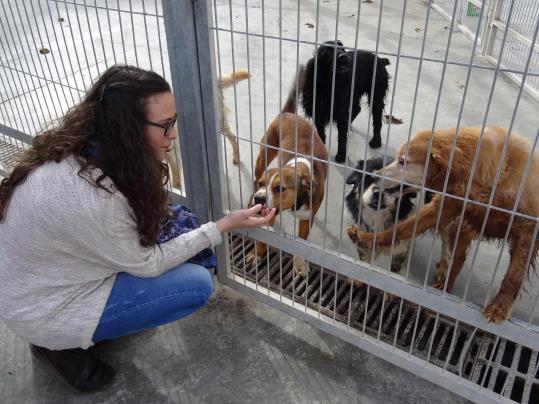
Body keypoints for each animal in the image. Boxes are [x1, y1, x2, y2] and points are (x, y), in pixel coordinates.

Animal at [246, 66, 330, 276]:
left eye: (280, 188)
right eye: (264, 185)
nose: (259, 198)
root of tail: (287, 114)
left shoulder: (307, 217)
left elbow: (300, 242)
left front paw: (299, 264)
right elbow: (264, 236)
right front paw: (257, 254)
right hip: (263, 156)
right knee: (254, 177)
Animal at [350, 124, 539, 324]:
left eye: (402, 161)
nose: (374, 175)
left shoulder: (528, 230)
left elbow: (513, 276)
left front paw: (500, 306)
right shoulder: (447, 205)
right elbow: (401, 228)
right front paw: (367, 239)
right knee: (457, 258)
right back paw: (445, 286)